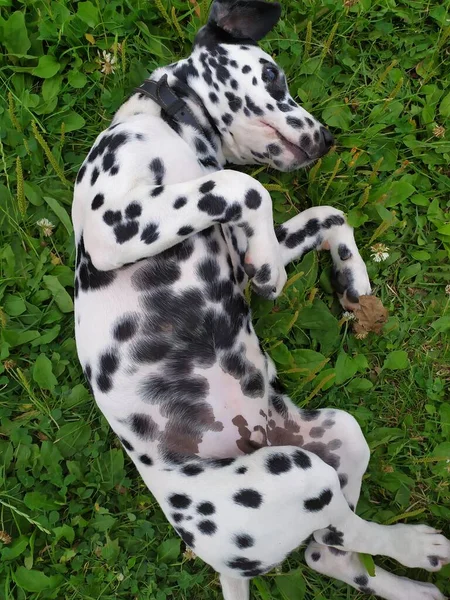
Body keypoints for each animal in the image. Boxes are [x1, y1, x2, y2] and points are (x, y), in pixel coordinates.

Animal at [72, 1, 448, 600]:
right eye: (274, 77)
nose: (328, 138)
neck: (178, 133)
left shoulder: (225, 232)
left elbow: (323, 214)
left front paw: (352, 281)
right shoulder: (115, 225)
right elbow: (247, 187)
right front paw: (275, 270)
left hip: (340, 437)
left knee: (331, 548)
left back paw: (413, 578)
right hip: (299, 470)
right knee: (337, 537)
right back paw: (421, 548)